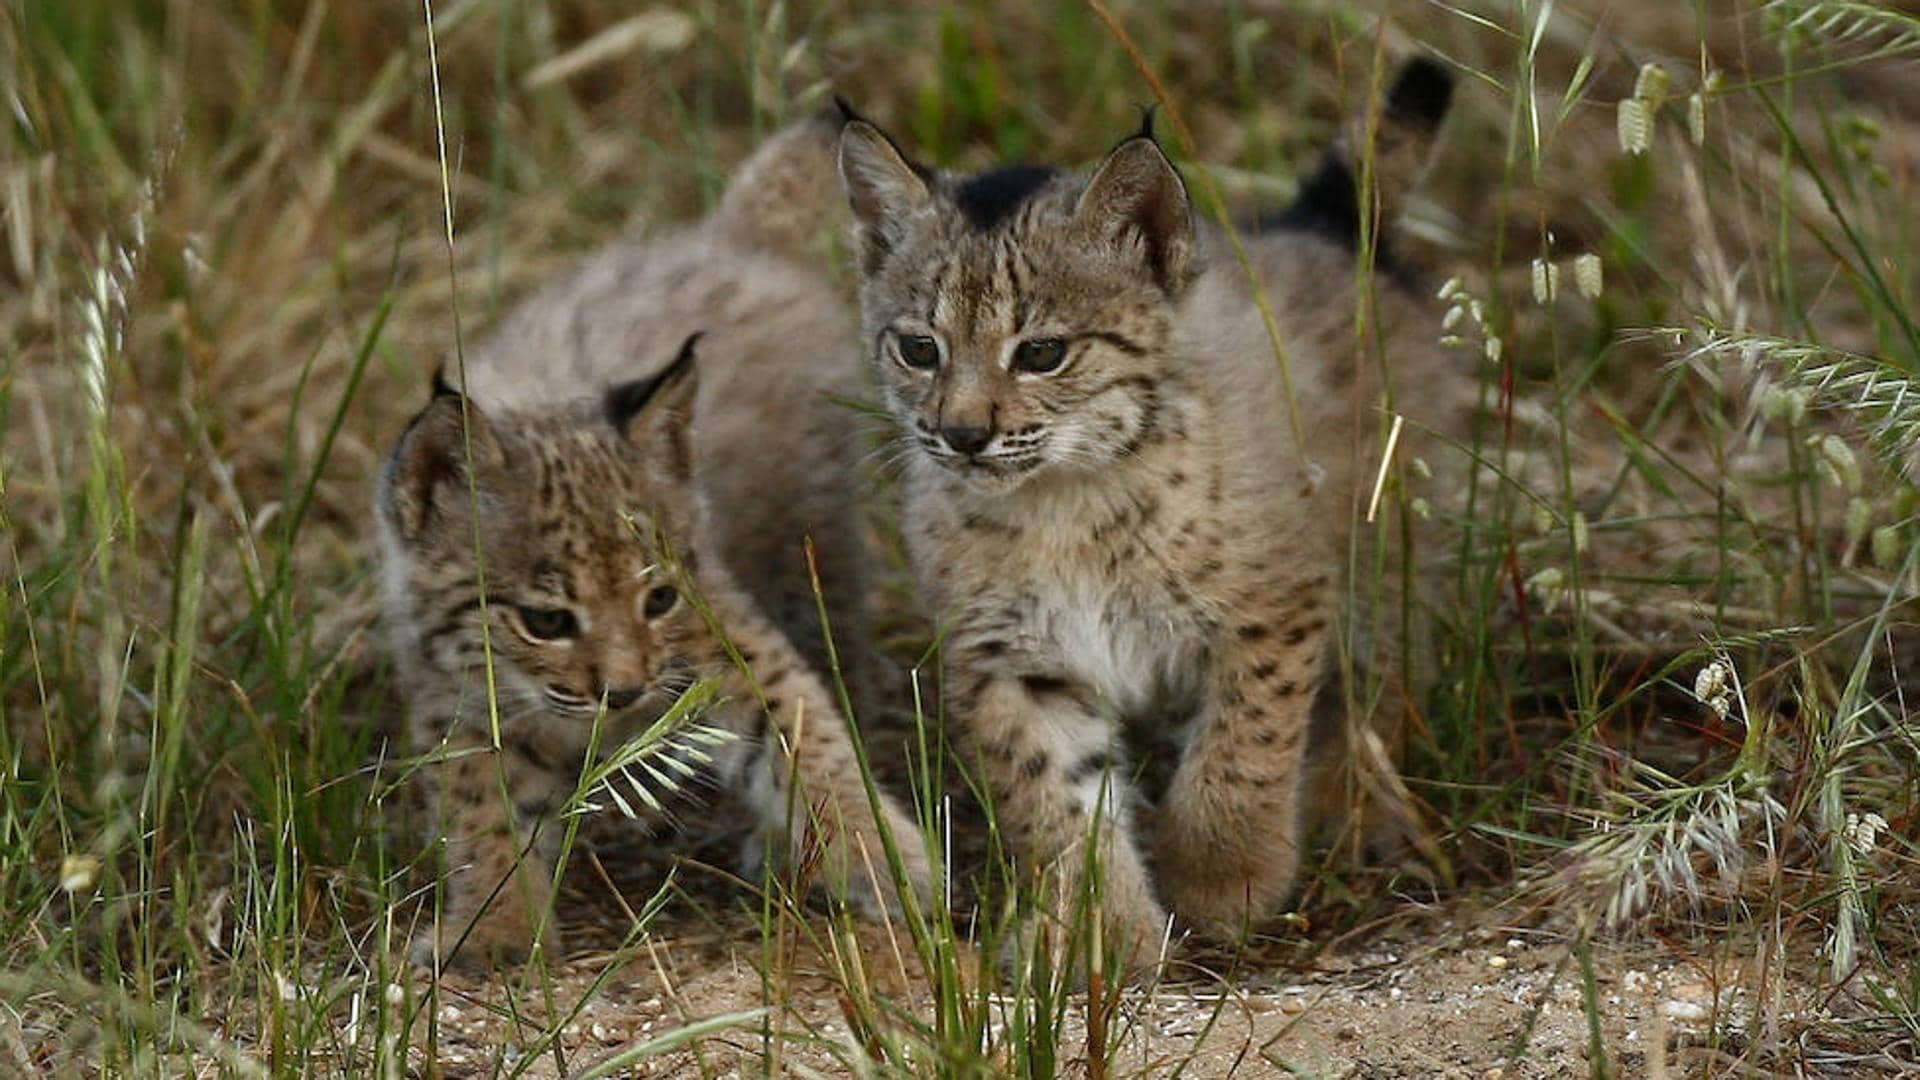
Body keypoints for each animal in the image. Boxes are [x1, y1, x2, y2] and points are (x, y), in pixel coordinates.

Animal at [840, 62, 1466, 960]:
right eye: (919, 349)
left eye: (1042, 354)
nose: (961, 435)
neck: (1065, 495)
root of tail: (1322, 226)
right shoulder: (1009, 657)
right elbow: (1052, 801)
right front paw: (1096, 938)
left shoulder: (1275, 603)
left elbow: (1245, 746)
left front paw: (1223, 880)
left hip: (1391, 551)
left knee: (1373, 687)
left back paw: (1360, 811)